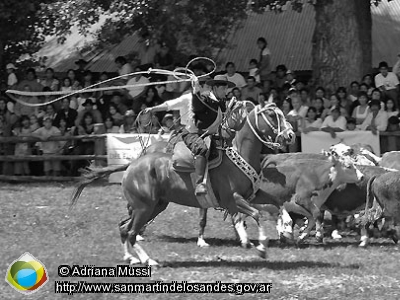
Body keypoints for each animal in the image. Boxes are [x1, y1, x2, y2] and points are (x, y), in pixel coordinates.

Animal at [69, 102, 294, 264]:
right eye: (272, 115)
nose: (291, 135)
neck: (238, 154)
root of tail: (132, 164)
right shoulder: (233, 199)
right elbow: (255, 214)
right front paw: (261, 246)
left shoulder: (251, 195)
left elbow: (277, 204)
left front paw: (287, 227)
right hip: (144, 207)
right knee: (130, 232)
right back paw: (148, 260)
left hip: (156, 205)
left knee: (125, 228)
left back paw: (131, 258)